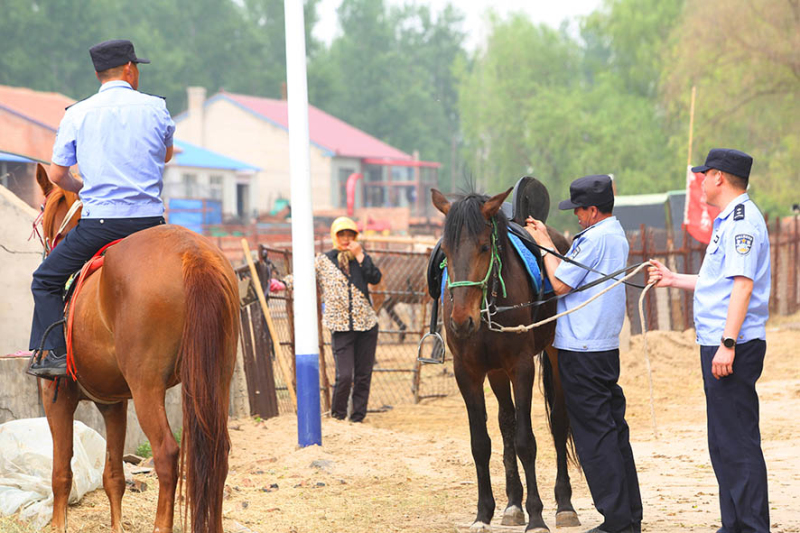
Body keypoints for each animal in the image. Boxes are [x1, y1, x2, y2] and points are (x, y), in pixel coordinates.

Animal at [31, 164, 239, 533]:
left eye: (43, 210)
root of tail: (192, 254)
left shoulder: (57, 398)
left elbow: (61, 474)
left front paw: (58, 524)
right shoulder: (113, 404)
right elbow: (113, 476)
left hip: (147, 385)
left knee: (167, 453)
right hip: (216, 377)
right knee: (217, 452)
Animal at [431, 187, 578, 532]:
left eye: (485, 247)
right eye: (446, 251)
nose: (461, 321)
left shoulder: (521, 367)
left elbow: (526, 442)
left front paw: (536, 516)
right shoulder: (468, 373)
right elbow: (481, 443)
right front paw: (484, 513)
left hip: (551, 356)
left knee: (558, 422)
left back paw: (564, 505)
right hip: (496, 372)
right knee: (506, 422)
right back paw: (512, 504)